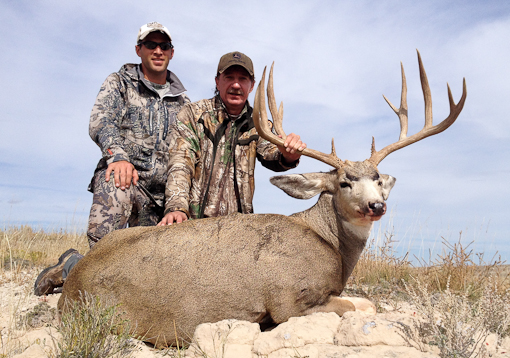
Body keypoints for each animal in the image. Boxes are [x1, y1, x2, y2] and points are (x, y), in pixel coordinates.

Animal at [58, 51, 466, 346]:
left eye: (378, 180)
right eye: (344, 183)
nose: (376, 206)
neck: (329, 244)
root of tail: (71, 292)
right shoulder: (290, 298)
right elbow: (364, 305)